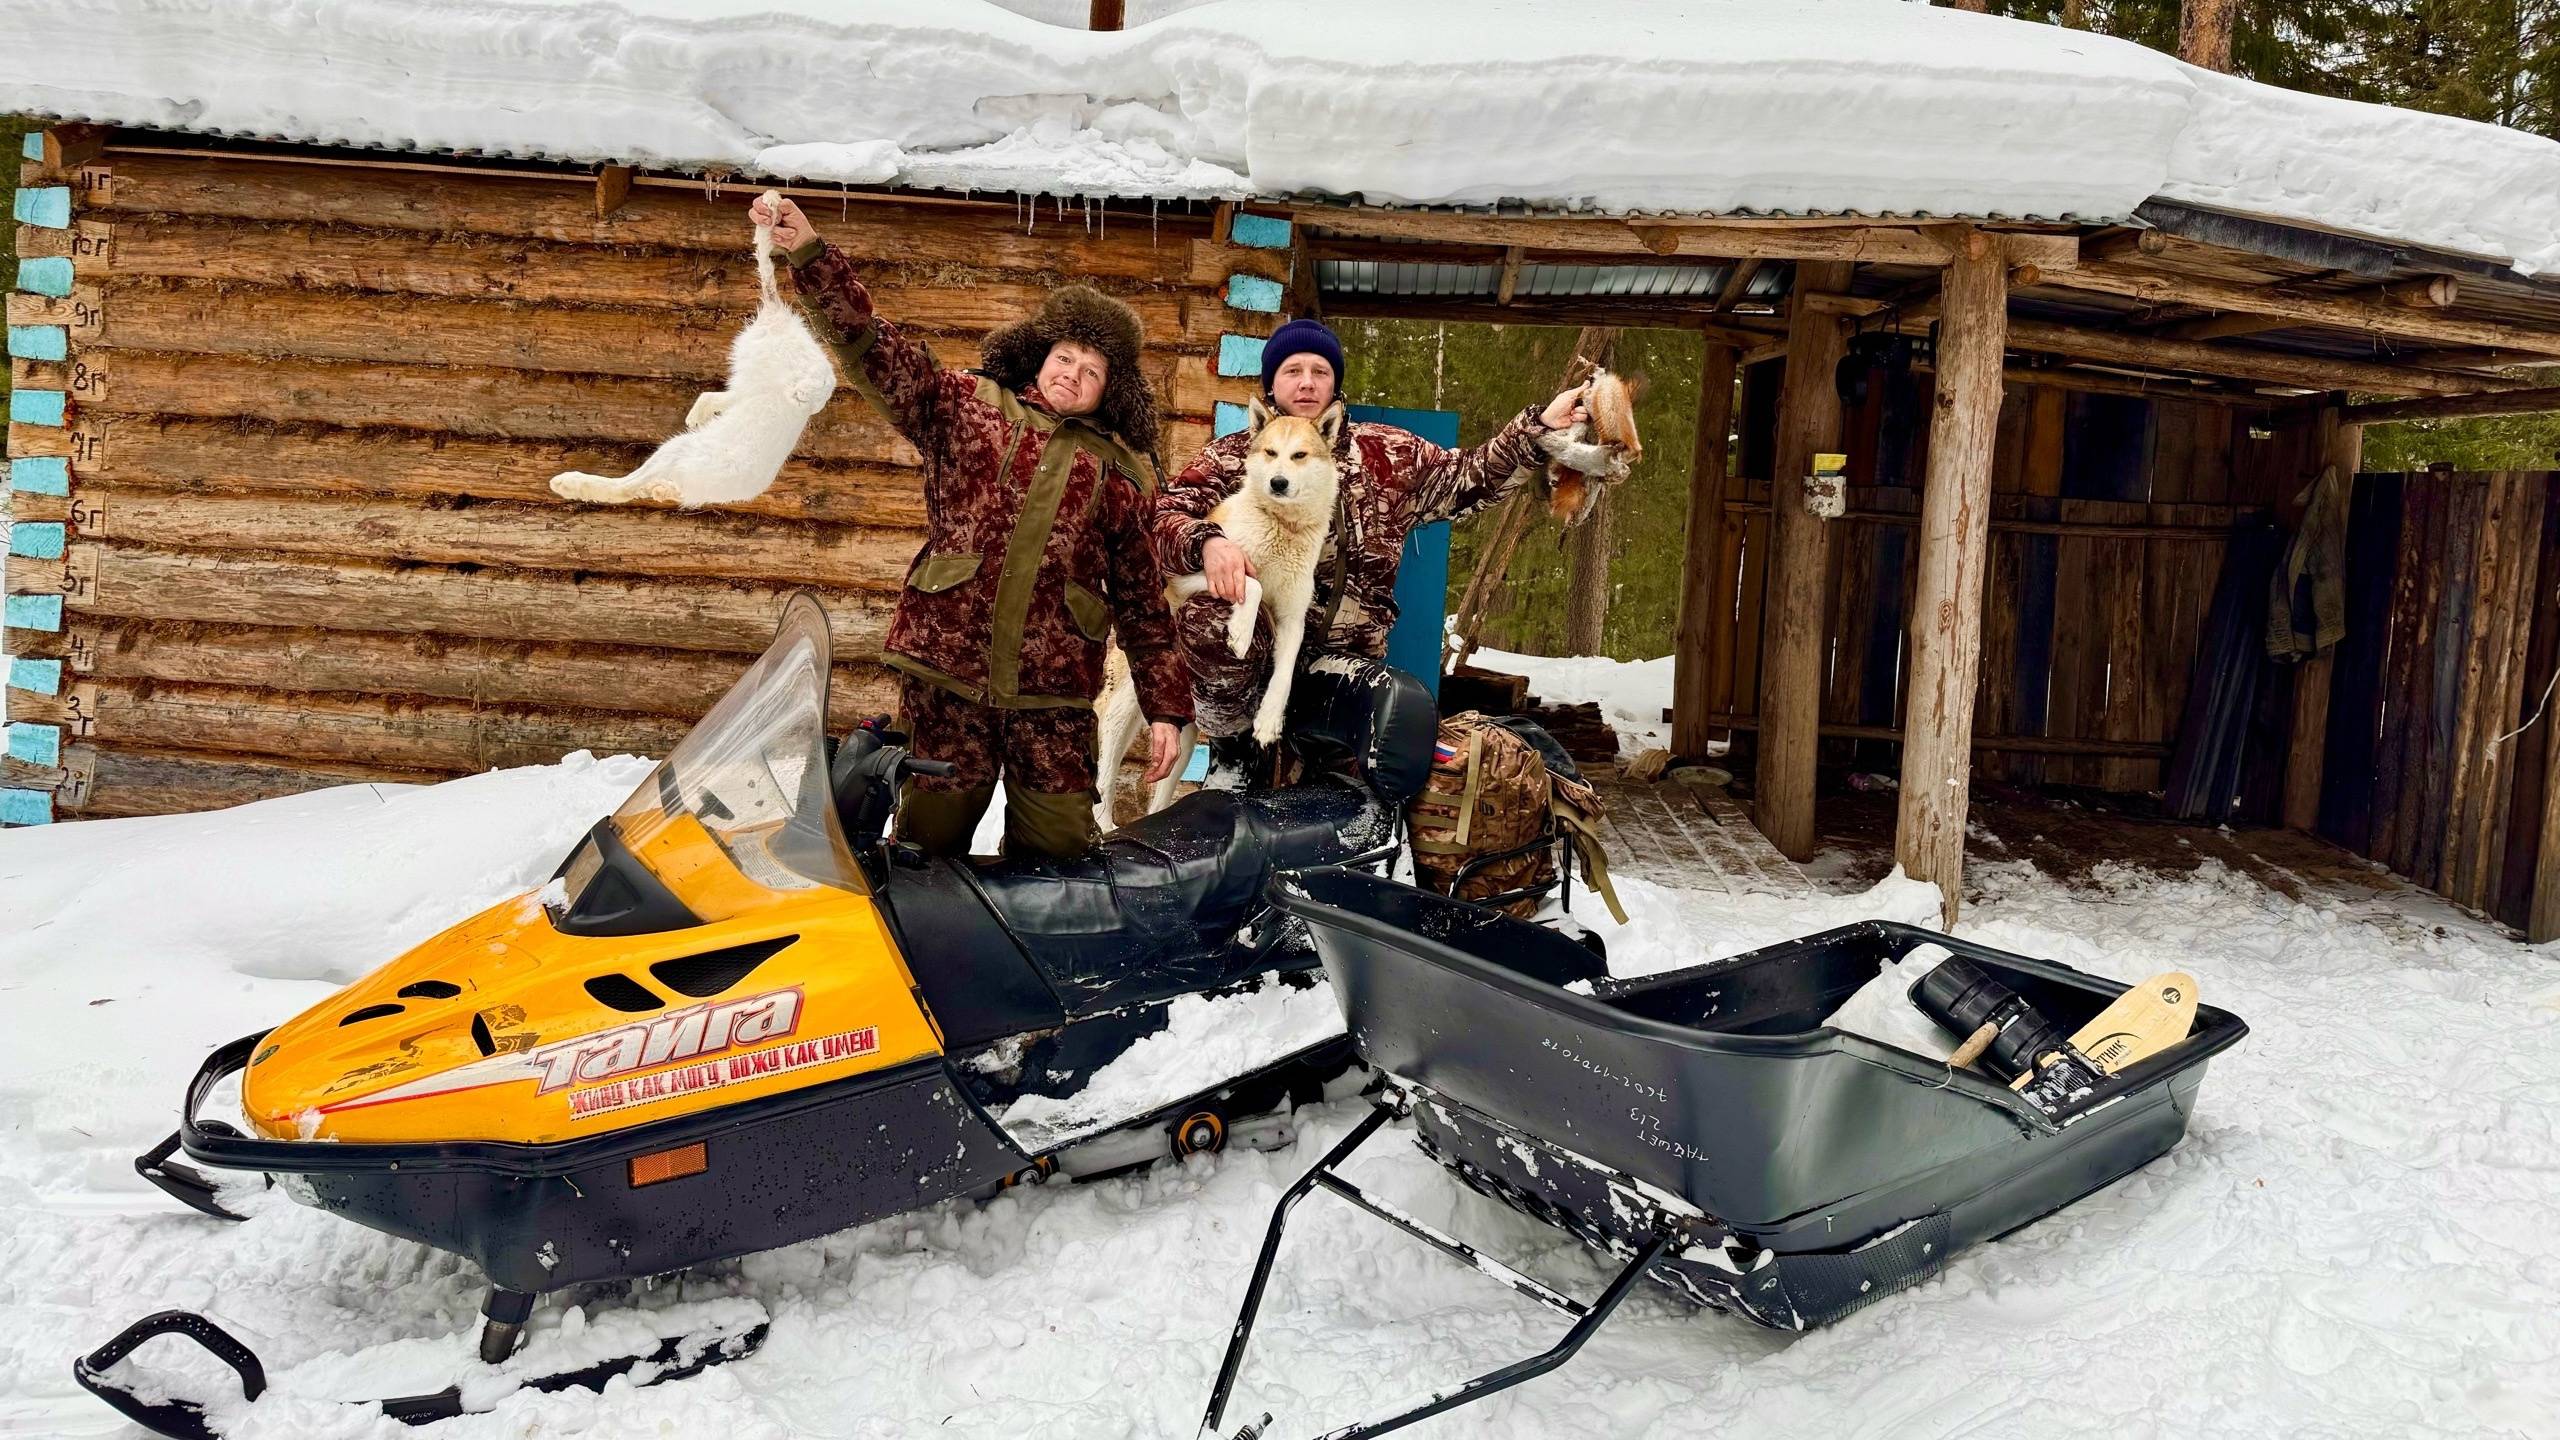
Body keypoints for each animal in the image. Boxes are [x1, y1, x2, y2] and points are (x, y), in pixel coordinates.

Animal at [1093, 399, 1343, 832]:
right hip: (1125, 708)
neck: (1281, 526)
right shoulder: (1200, 575)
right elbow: (1248, 579)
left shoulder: (1293, 619)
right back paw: (1103, 828)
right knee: (1102, 776)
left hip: (1181, 738)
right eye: (1271, 452)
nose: (1278, 482)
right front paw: (1241, 632)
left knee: (1159, 801)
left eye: (1299, 455)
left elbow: (1285, 671)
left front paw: (1268, 720)